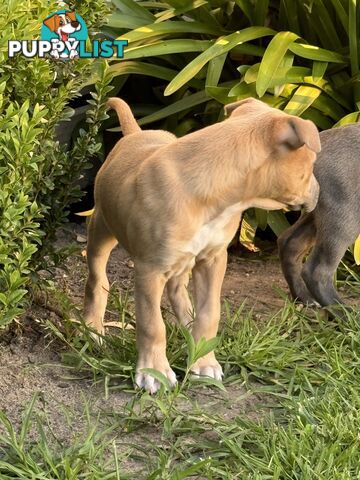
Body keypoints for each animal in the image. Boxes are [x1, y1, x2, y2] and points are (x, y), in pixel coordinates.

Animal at [85, 95, 320, 392]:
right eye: (312, 164)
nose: (320, 192)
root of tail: (136, 133)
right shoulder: (150, 269)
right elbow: (152, 324)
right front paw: (154, 372)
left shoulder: (213, 259)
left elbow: (210, 314)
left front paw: (203, 360)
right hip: (101, 229)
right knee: (98, 279)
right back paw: (92, 328)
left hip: (183, 259)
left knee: (177, 289)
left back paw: (188, 321)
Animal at [278, 122, 360, 306]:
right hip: (344, 216)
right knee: (318, 270)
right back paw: (341, 310)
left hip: (318, 213)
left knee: (289, 242)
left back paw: (304, 298)